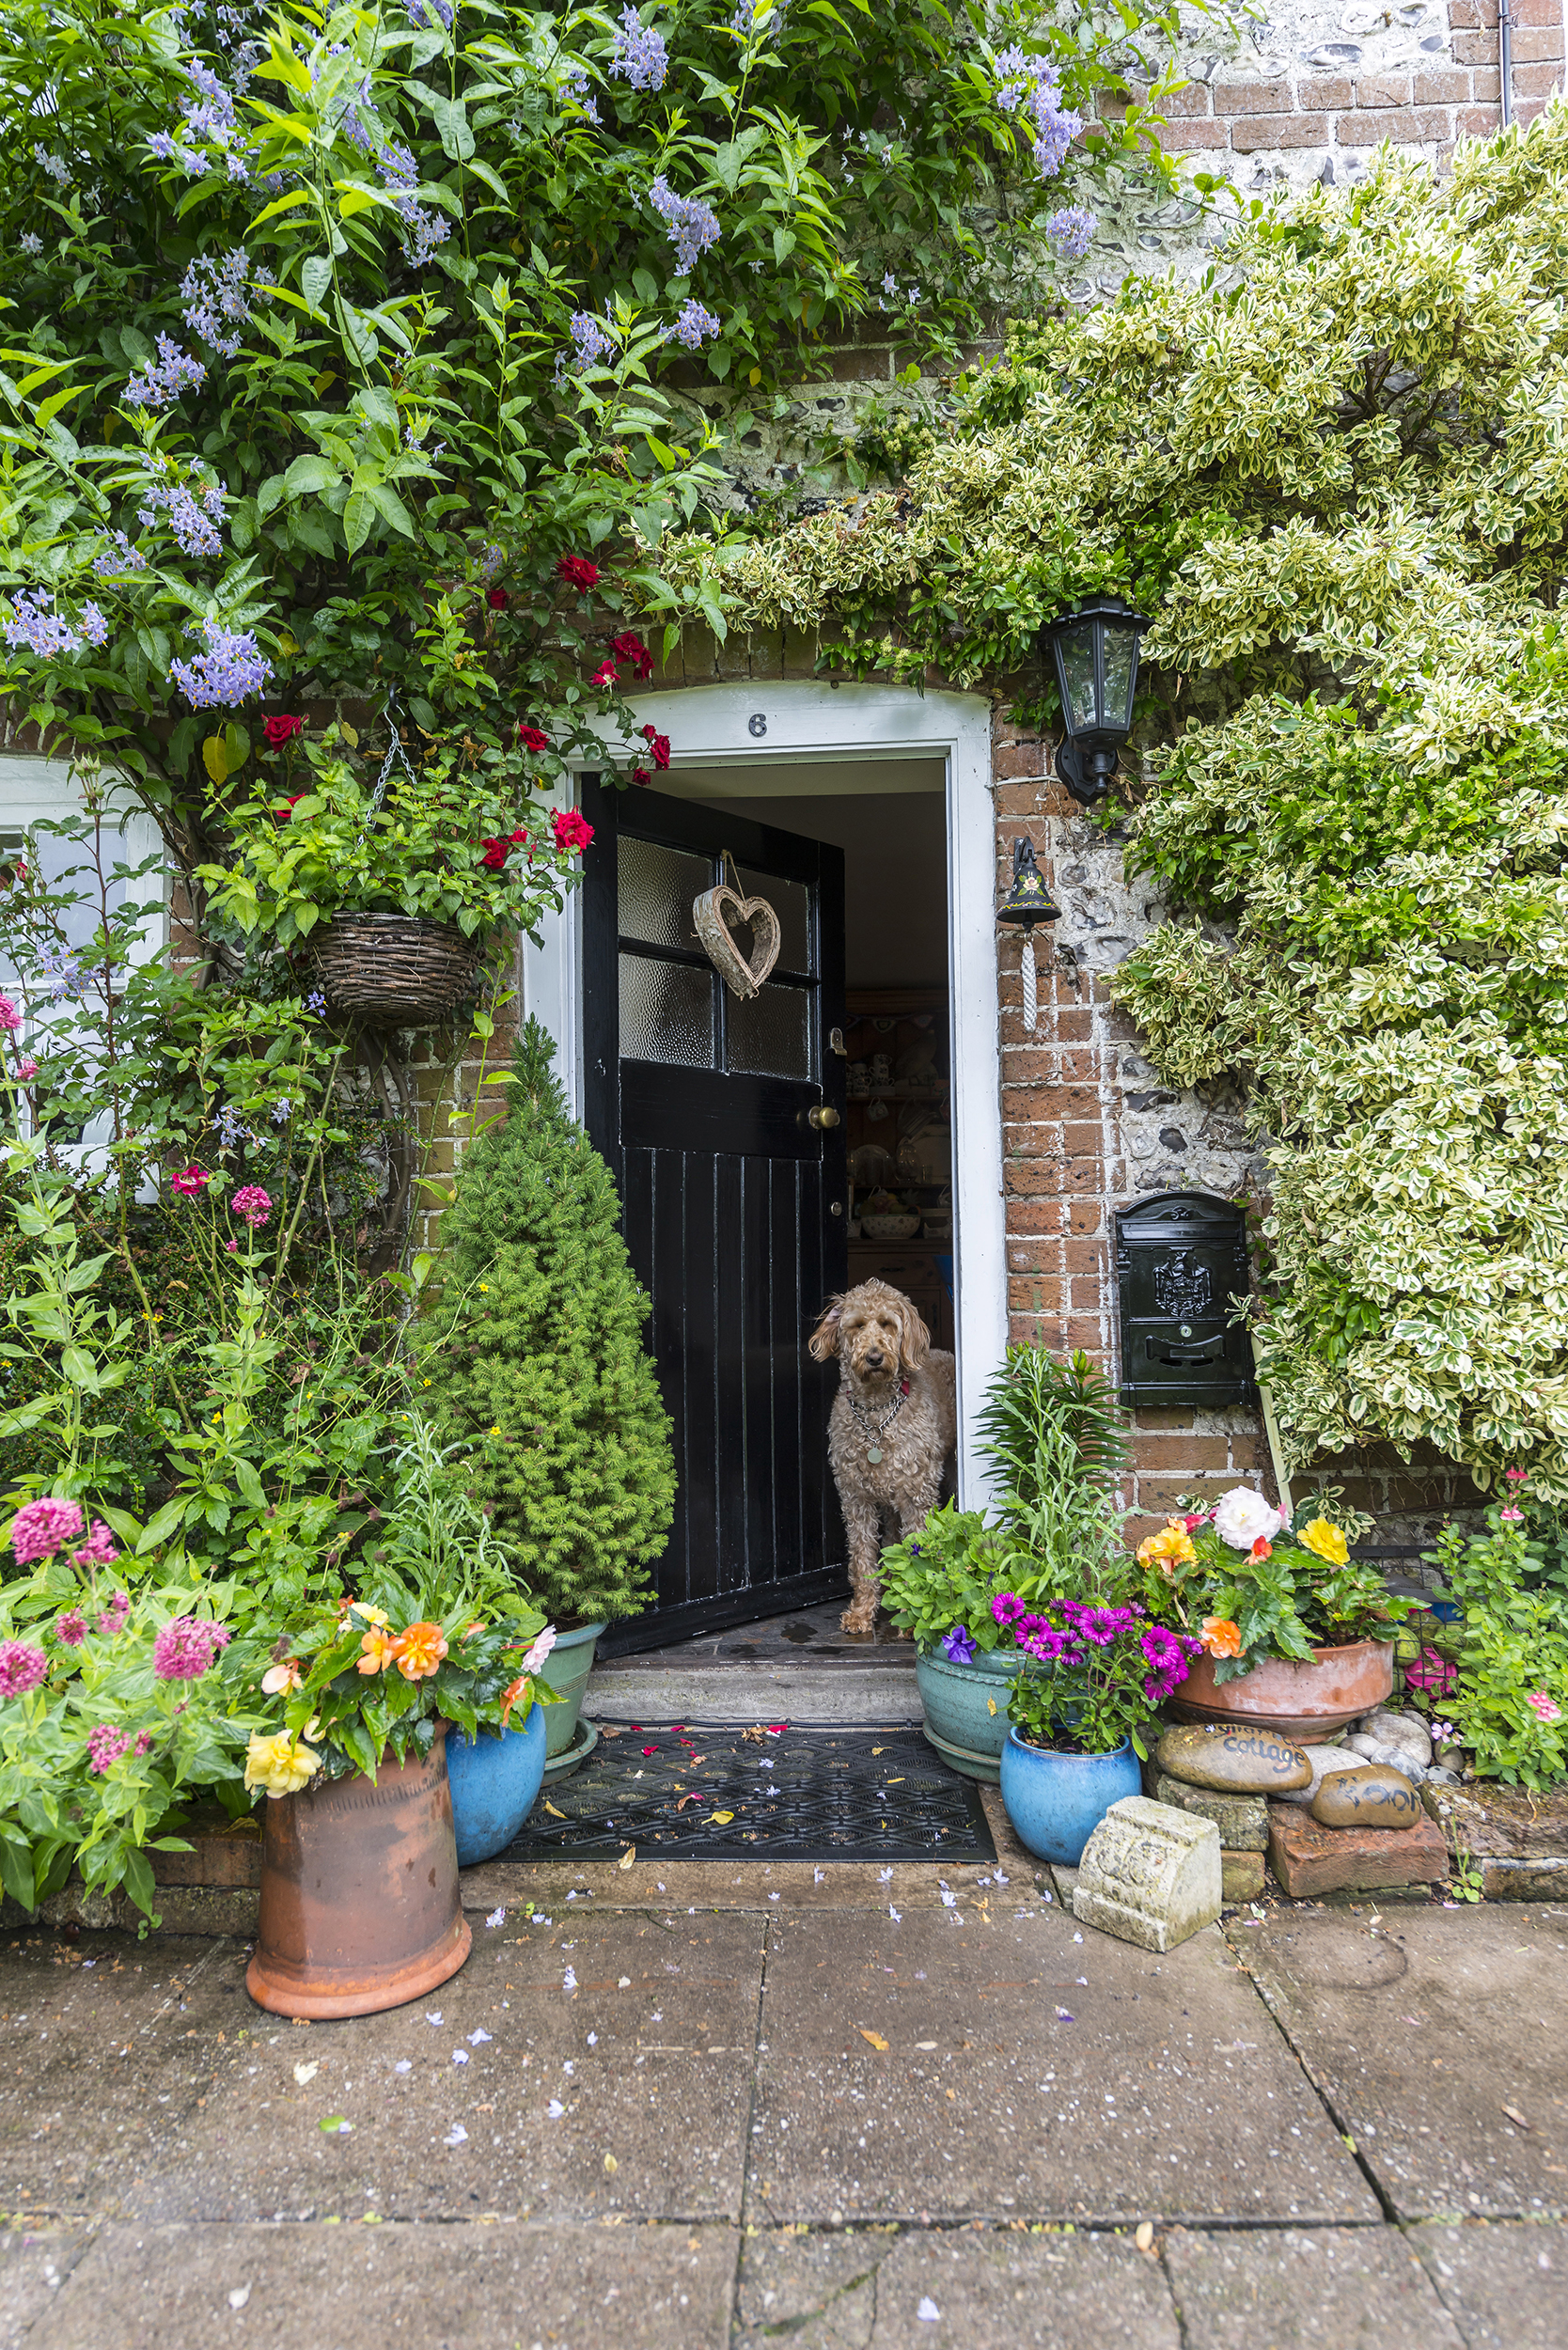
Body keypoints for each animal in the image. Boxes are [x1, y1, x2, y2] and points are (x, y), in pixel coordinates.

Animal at [808, 1288, 959, 1636]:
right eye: (857, 1325)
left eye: (888, 1324)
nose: (874, 1357)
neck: (877, 1412)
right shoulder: (855, 1498)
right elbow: (862, 1557)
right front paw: (862, 1613)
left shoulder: (917, 1496)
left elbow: (917, 1552)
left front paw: (913, 1619)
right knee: (890, 1538)